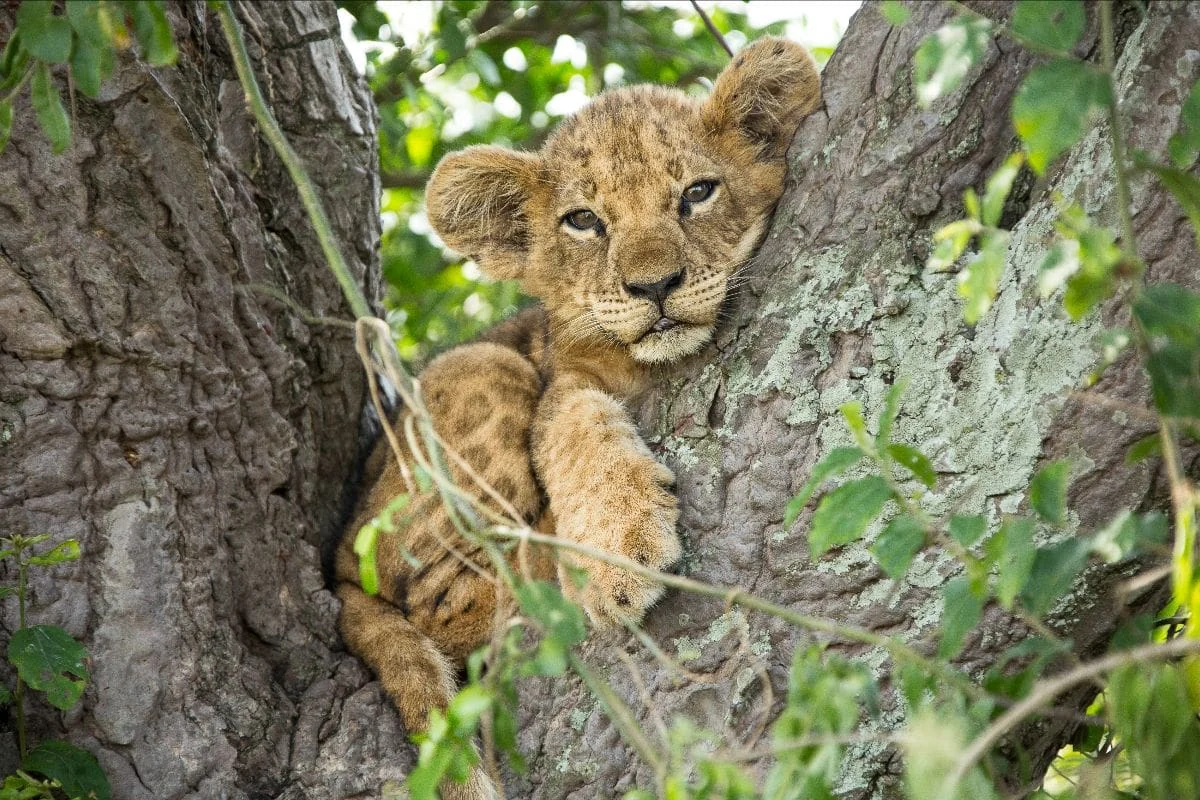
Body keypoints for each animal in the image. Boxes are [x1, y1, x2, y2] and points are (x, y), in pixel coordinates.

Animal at [334, 37, 820, 799]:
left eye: (697, 193)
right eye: (584, 221)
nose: (654, 286)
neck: (647, 365)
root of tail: (335, 563)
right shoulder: (559, 375)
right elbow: (570, 430)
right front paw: (615, 554)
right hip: (480, 367)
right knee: (443, 604)